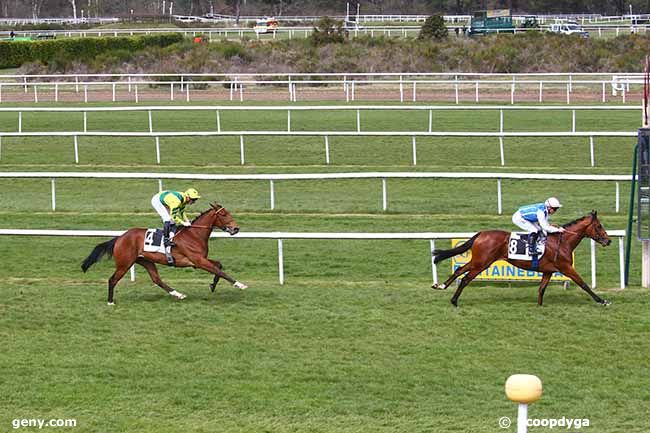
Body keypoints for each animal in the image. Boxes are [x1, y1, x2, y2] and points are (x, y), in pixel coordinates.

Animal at [79, 202, 244, 304]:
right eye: (224, 214)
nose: (236, 228)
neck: (194, 235)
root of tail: (120, 237)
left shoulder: (199, 261)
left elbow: (218, 266)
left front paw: (213, 285)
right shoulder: (198, 261)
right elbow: (219, 270)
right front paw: (239, 284)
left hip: (145, 261)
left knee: (157, 279)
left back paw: (178, 294)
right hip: (124, 264)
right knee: (112, 280)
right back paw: (110, 301)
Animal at [432, 211, 612, 306]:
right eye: (599, 226)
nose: (608, 240)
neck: (562, 242)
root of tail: (480, 234)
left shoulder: (548, 271)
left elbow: (541, 289)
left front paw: (539, 306)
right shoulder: (566, 268)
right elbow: (583, 284)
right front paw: (602, 300)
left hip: (478, 261)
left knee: (459, 270)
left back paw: (441, 286)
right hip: (482, 263)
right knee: (465, 278)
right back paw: (454, 300)